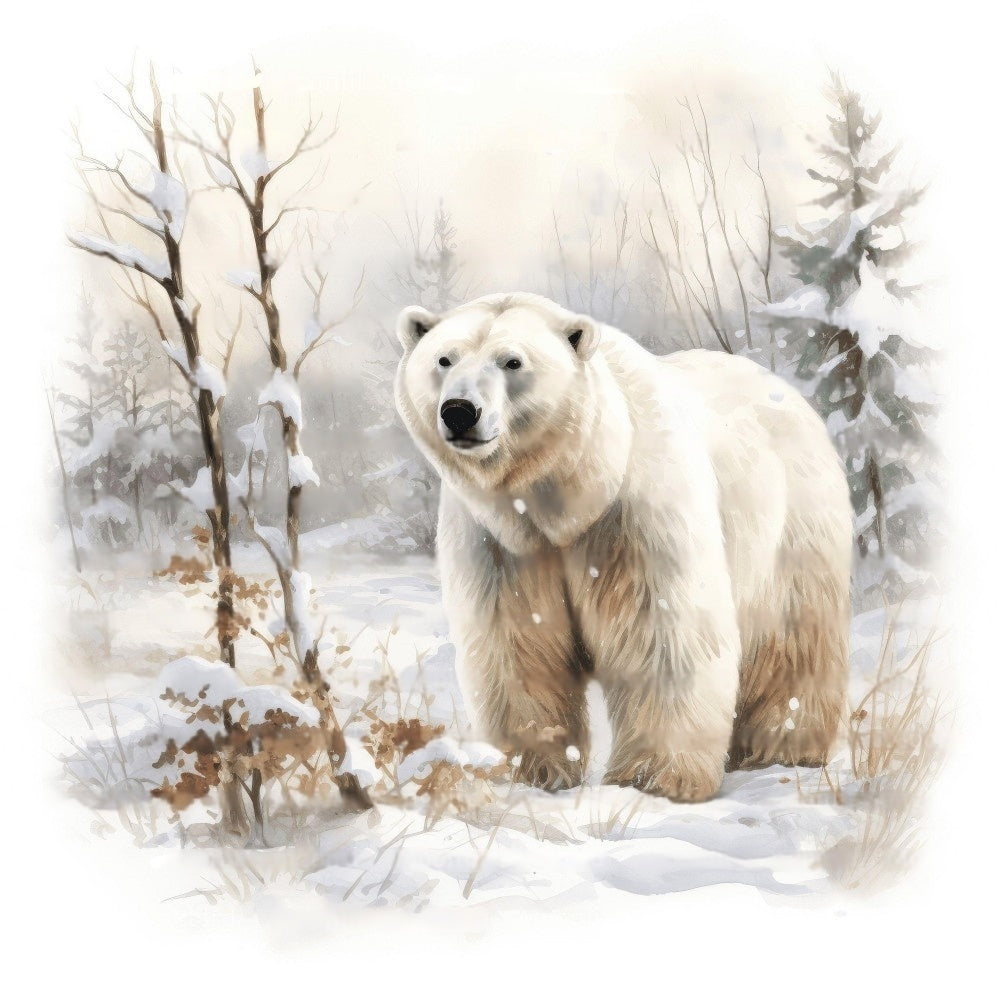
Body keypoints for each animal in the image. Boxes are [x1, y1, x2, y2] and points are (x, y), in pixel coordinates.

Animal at [394, 292, 852, 803]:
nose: (459, 410)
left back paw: (782, 747)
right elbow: (517, 645)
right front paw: (529, 770)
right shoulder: (502, 541)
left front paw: (654, 778)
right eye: (444, 358)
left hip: (793, 523)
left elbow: (661, 636)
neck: (565, 495)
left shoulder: (633, 514)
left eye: (512, 361)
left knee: (792, 637)